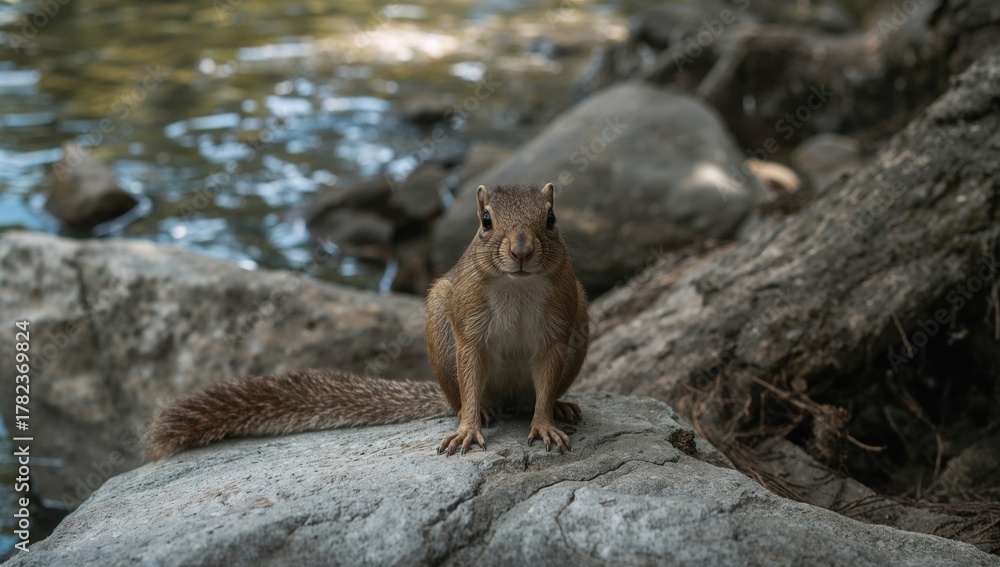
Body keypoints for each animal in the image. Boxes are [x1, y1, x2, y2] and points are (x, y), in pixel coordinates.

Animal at [142, 183, 589, 460]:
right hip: (440, 324)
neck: (517, 288)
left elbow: (544, 382)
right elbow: (470, 371)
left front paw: (546, 423)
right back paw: (480, 411)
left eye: (551, 219)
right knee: (465, 397)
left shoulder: (558, 328)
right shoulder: (468, 328)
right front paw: (467, 427)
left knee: (533, 396)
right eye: (485, 221)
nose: (521, 251)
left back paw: (561, 405)